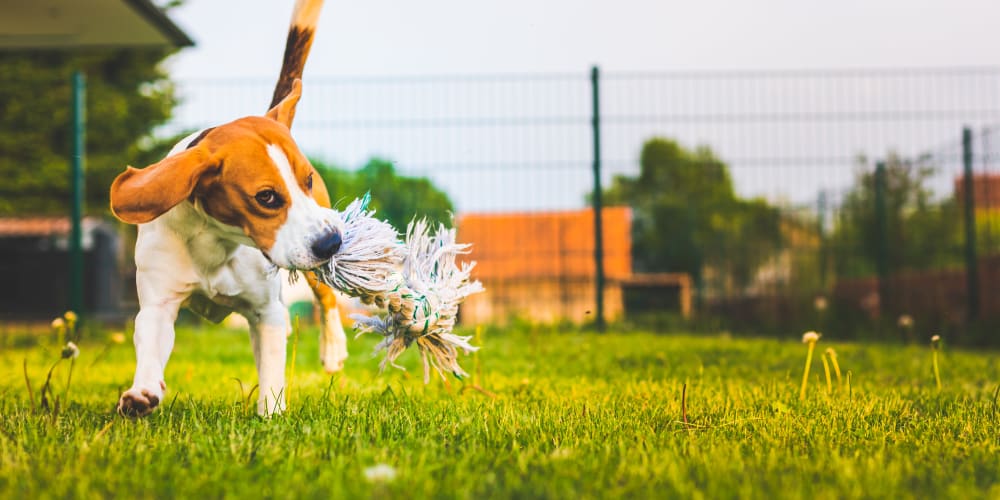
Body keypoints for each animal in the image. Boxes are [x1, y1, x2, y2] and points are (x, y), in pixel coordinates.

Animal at [107, 0, 338, 416]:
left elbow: (272, 372)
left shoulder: (268, 312)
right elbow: (150, 344)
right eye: (266, 197)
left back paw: (332, 350)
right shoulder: (158, 304)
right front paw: (142, 393)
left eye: (307, 180)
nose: (331, 243)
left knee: (327, 301)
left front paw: (271, 416)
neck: (216, 242)